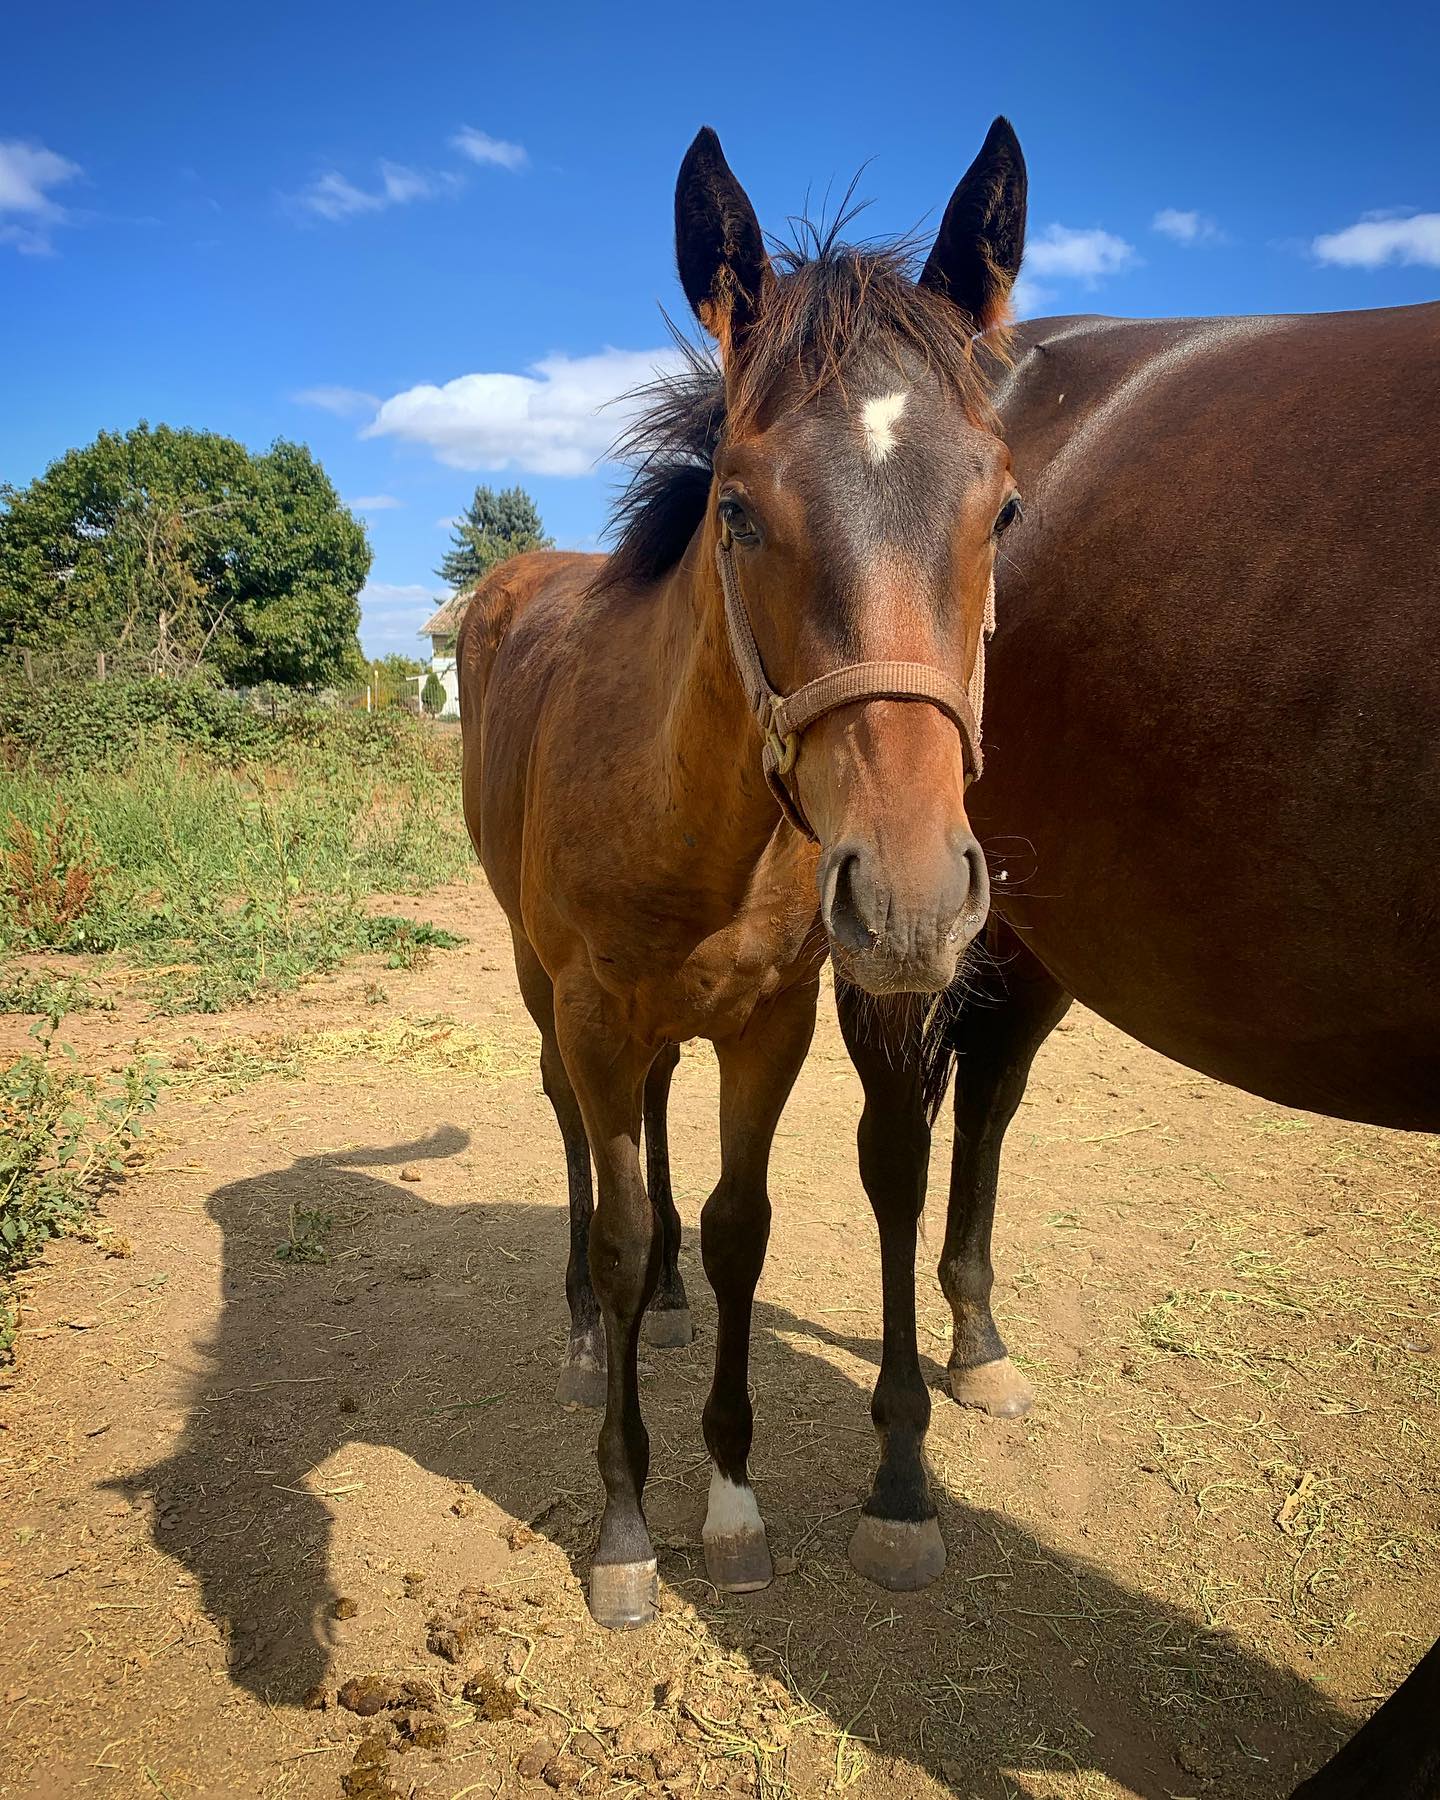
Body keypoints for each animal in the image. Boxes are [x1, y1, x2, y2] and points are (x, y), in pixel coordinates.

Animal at [459, 119, 1030, 1628]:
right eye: (737, 511)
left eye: (1006, 509)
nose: (910, 898)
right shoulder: (595, 1013)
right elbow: (617, 1221)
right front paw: (624, 1528)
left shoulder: (769, 1024)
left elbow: (735, 1228)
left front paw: (727, 1501)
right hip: (541, 985)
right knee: (577, 1140)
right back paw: (592, 1332)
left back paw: (660, 1309)